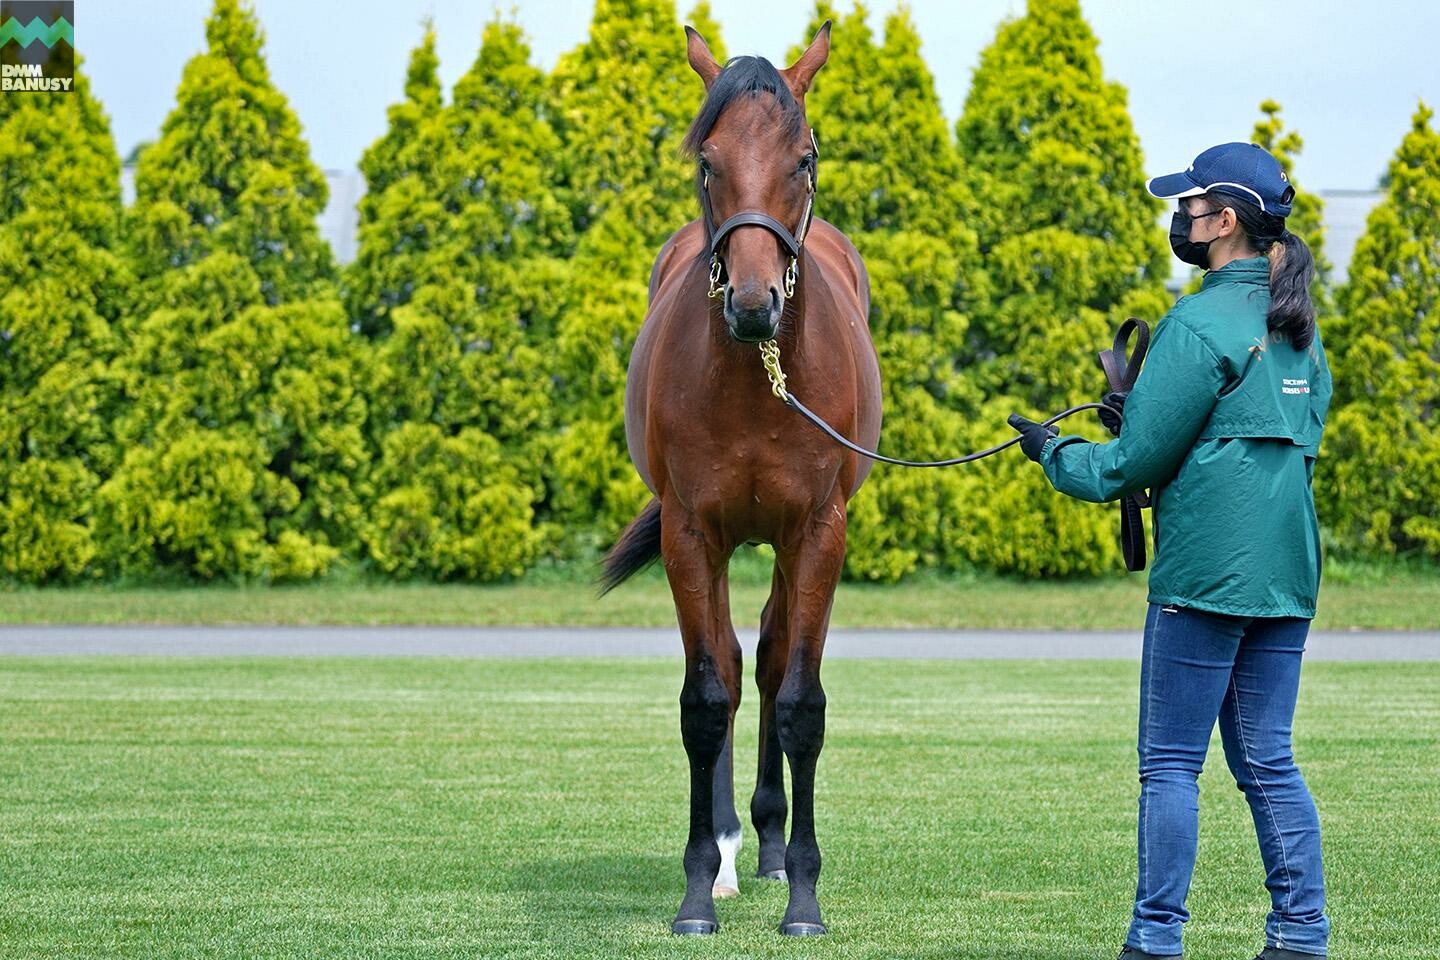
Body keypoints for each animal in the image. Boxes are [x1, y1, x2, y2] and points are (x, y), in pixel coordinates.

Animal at [596, 20, 875, 938]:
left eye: (805, 156)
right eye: (706, 160)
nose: (753, 303)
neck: (757, 379)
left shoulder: (819, 531)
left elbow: (800, 699)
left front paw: (804, 896)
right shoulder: (691, 532)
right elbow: (704, 698)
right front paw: (694, 889)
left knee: (772, 656)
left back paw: (772, 845)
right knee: (726, 656)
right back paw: (723, 854)